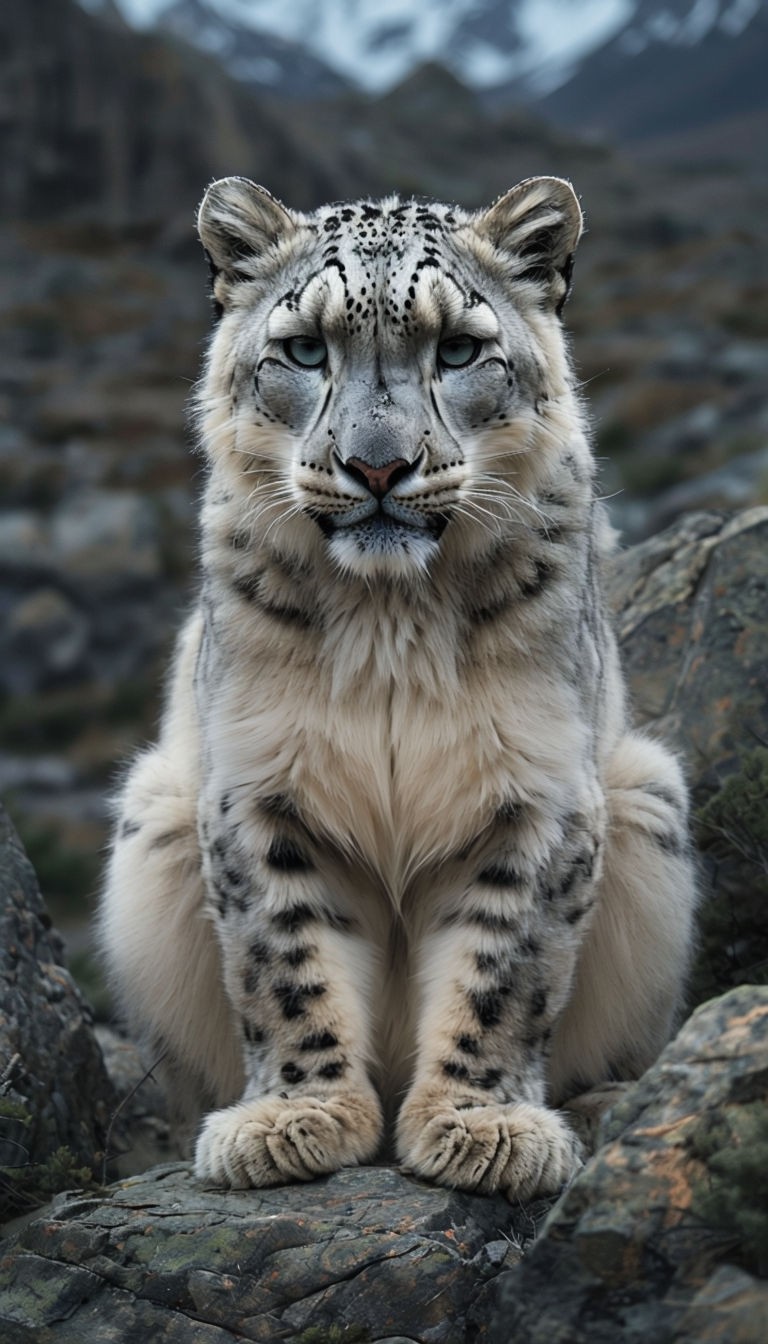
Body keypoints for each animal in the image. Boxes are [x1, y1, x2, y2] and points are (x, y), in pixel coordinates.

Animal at [98, 176, 699, 1198]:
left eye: (457, 347)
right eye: (305, 347)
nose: (377, 465)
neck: (390, 624)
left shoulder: (540, 788)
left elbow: (506, 965)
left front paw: (481, 1124)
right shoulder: (258, 783)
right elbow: (284, 956)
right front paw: (296, 1117)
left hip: (649, 797)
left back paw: (605, 1103)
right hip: (153, 816)